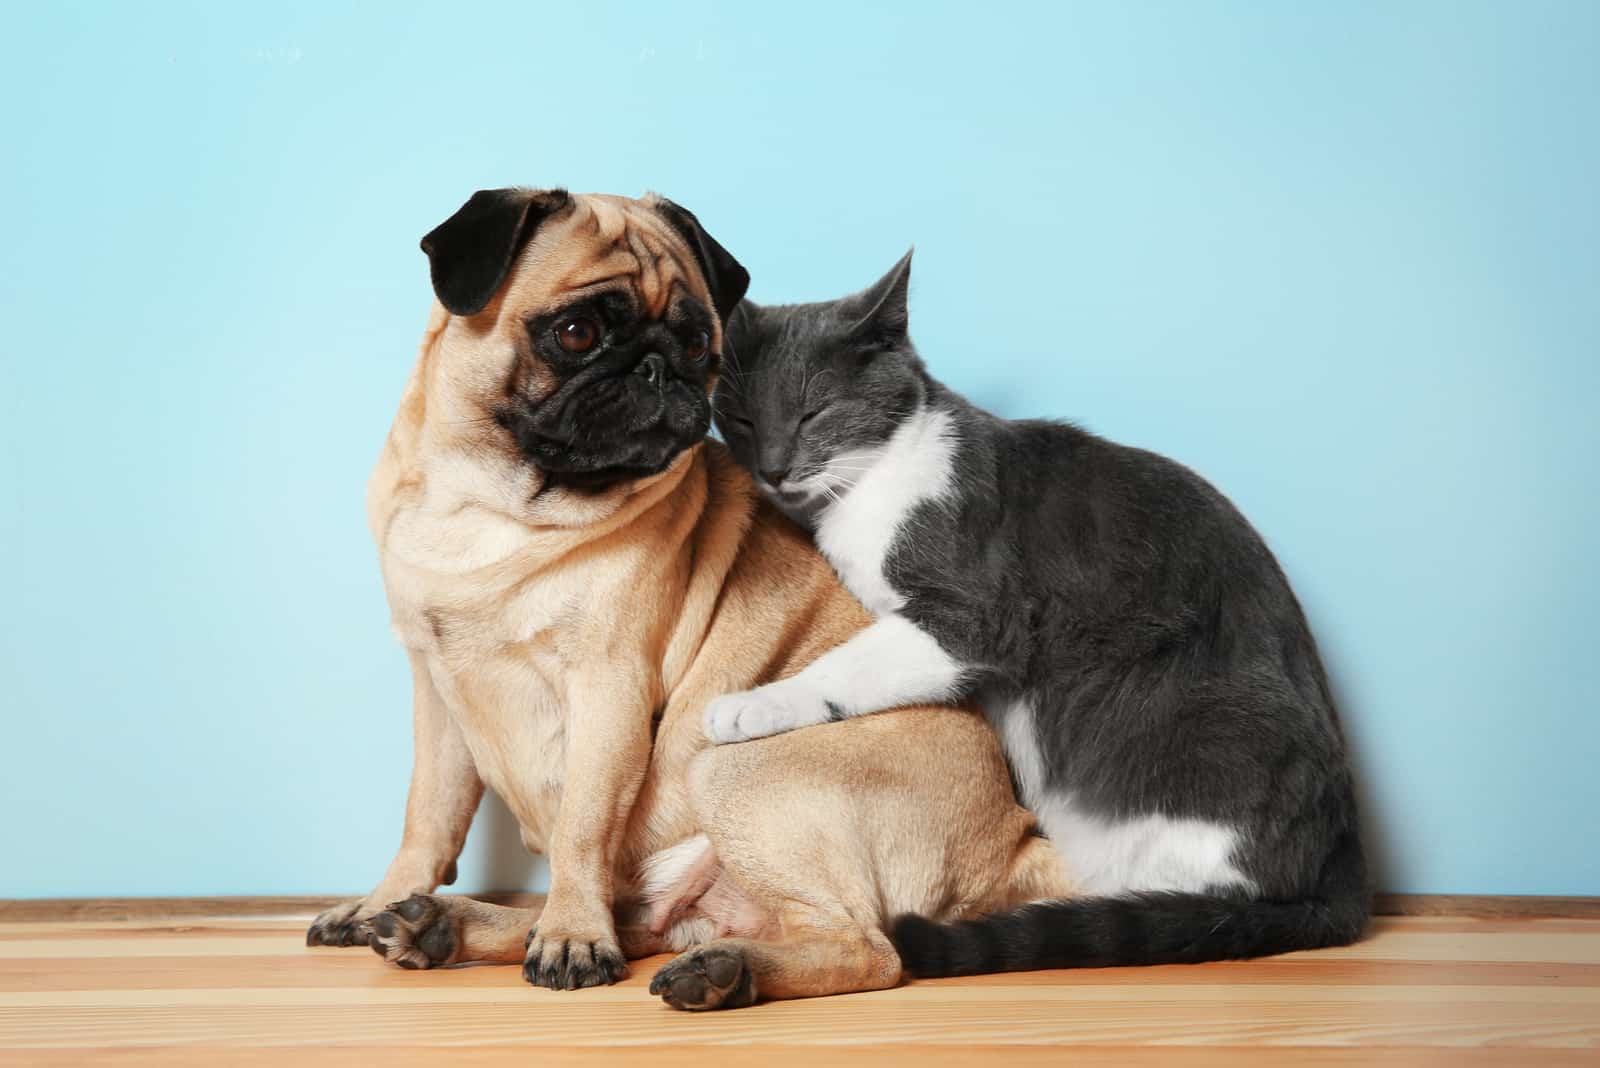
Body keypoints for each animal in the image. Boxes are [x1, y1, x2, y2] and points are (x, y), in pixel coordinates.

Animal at [302, 191, 1075, 1010]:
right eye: (577, 333)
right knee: (646, 919)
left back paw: (716, 970)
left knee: (866, 948)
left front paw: (572, 937)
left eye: (700, 343)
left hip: (731, 772)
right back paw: (438, 924)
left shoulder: (607, 687)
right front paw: (384, 900)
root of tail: (1015, 834)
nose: (657, 367)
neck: (494, 503)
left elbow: (582, 825)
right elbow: (428, 816)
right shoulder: (438, 688)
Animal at [707, 254, 1369, 972]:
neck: (867, 491)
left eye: (814, 413)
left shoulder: (973, 618)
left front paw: (753, 705)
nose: (773, 470)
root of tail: (1344, 868)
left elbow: (843, 666)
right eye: (740, 419)